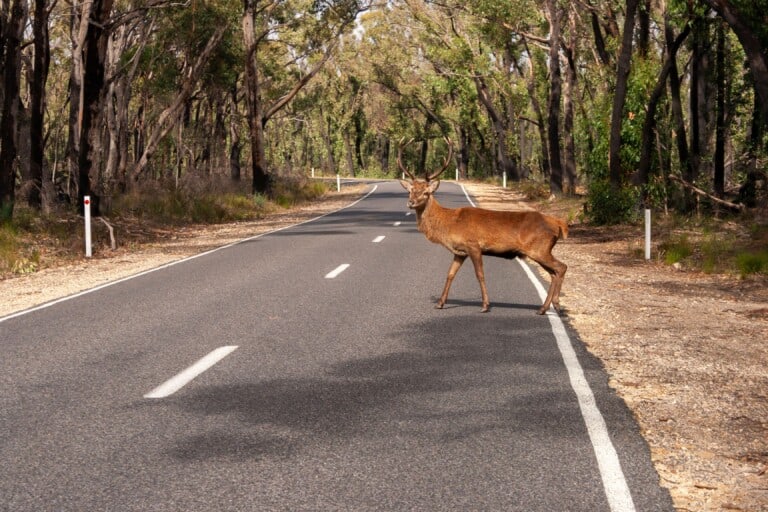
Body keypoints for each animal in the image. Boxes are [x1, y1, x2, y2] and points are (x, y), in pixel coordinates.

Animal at [398, 142, 568, 315]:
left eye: (426, 192)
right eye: (410, 191)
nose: (411, 202)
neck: (449, 224)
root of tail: (558, 223)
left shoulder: (473, 245)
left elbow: (479, 274)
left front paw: (485, 305)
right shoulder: (460, 252)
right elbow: (450, 274)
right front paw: (440, 303)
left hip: (539, 249)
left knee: (561, 267)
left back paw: (556, 305)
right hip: (540, 251)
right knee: (553, 273)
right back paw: (543, 308)